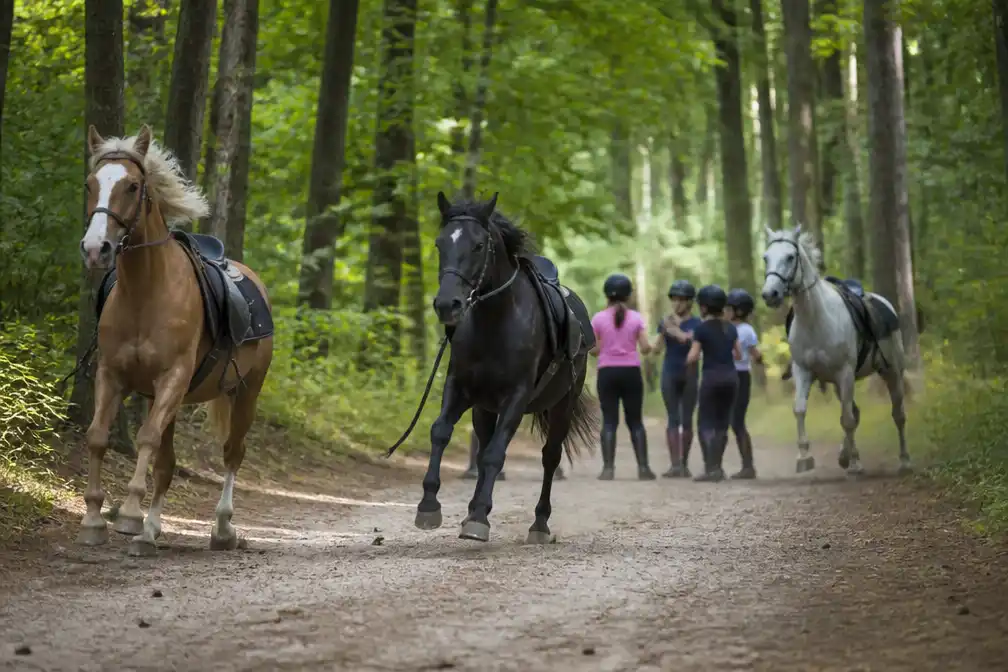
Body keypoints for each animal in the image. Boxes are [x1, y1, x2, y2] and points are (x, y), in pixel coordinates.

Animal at [76, 124, 275, 556]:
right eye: (90, 184)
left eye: (133, 186)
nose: (96, 249)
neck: (145, 293)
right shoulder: (112, 375)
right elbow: (98, 436)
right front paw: (95, 518)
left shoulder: (173, 378)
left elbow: (146, 439)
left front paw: (128, 515)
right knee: (167, 464)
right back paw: (151, 531)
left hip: (247, 391)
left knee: (232, 452)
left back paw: (222, 529)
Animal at [400, 191, 598, 544]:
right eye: (439, 243)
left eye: (479, 245)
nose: (447, 304)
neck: (496, 322)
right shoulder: (461, 388)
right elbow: (441, 432)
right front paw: (430, 506)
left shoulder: (515, 398)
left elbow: (496, 453)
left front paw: (479, 517)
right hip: (484, 409)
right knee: (482, 450)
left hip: (563, 404)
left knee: (550, 457)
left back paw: (539, 524)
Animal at [760, 225, 911, 476]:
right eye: (766, 257)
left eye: (790, 257)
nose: (770, 294)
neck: (815, 319)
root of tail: (886, 304)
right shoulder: (803, 371)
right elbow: (800, 409)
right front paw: (805, 457)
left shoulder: (845, 372)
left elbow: (847, 419)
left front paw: (853, 463)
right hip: (840, 383)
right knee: (853, 412)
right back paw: (848, 455)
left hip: (891, 372)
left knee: (897, 414)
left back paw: (904, 461)